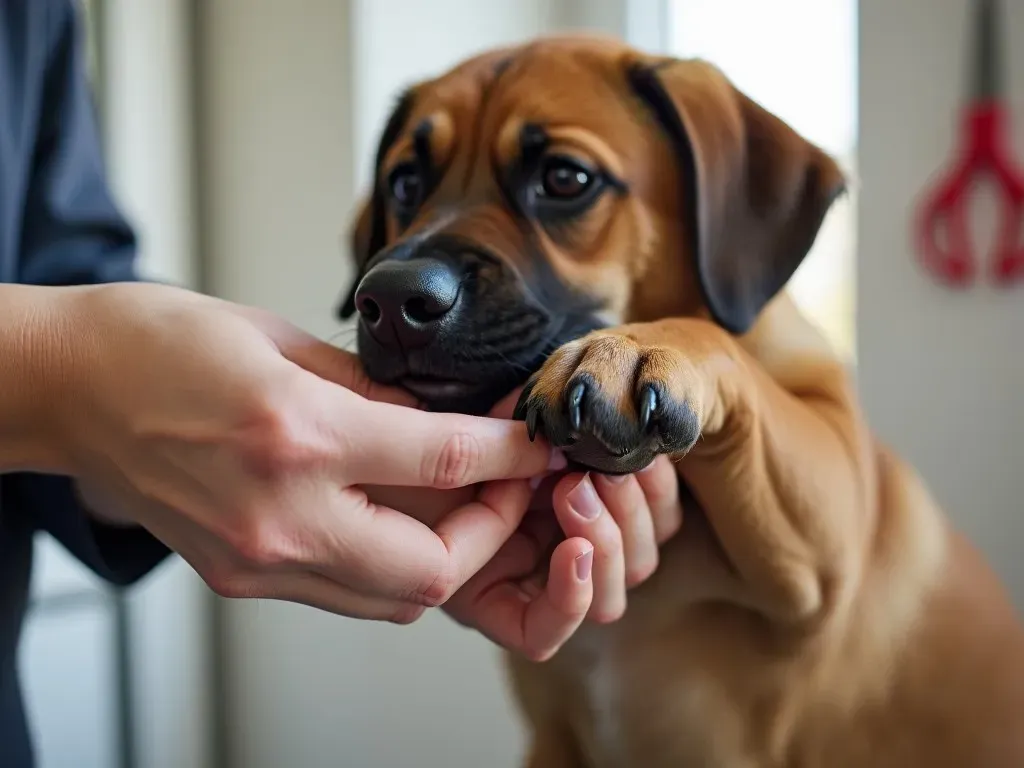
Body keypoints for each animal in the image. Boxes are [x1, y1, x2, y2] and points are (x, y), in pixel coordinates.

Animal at [339, 34, 1024, 765]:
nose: (390, 300)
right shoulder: (552, 741)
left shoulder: (829, 517)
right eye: (404, 183)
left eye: (565, 179)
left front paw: (630, 350)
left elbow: (714, 341)